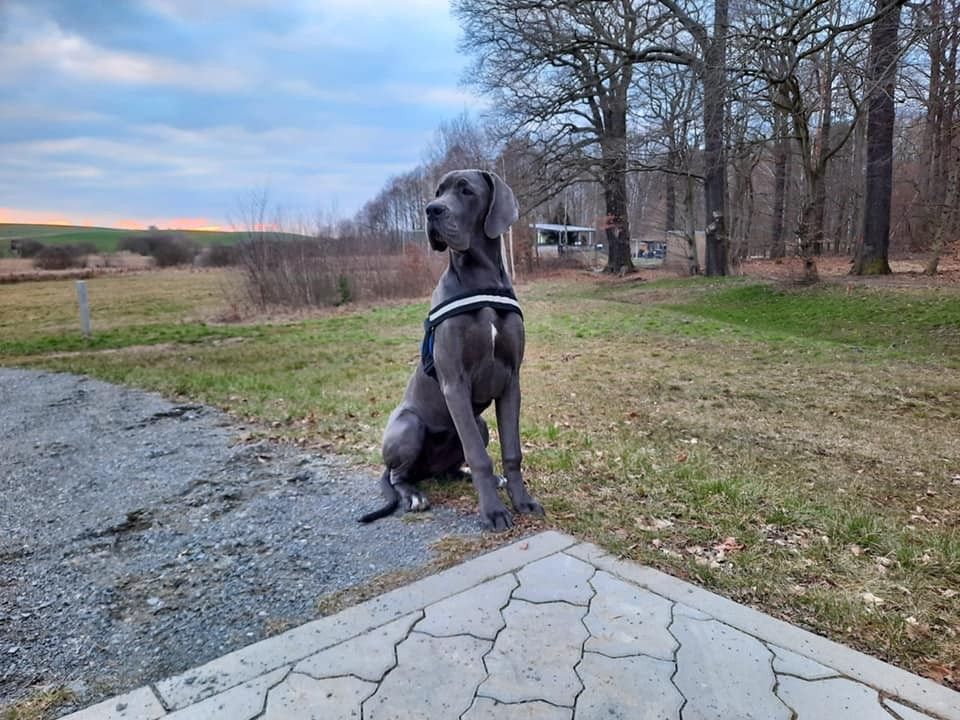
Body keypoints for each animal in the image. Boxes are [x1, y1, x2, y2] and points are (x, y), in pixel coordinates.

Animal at [358, 169, 544, 531]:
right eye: (437, 192)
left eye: (466, 191)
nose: (431, 211)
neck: (481, 278)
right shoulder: (454, 382)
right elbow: (480, 457)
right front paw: (494, 512)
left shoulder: (511, 381)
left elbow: (512, 451)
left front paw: (522, 501)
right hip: (409, 425)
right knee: (398, 476)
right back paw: (414, 496)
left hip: (479, 425)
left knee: (450, 468)